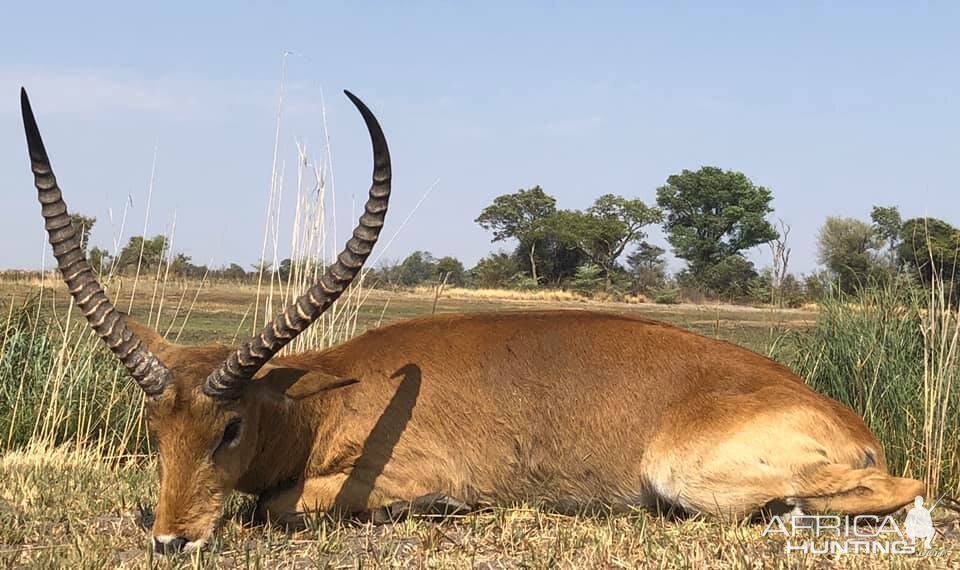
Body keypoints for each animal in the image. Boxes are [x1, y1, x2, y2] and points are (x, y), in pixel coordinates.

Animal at [18, 87, 928, 552]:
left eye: (229, 427)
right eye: (156, 429)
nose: (170, 540)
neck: (329, 400)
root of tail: (844, 416)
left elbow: (274, 506)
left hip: (685, 472)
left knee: (904, 486)